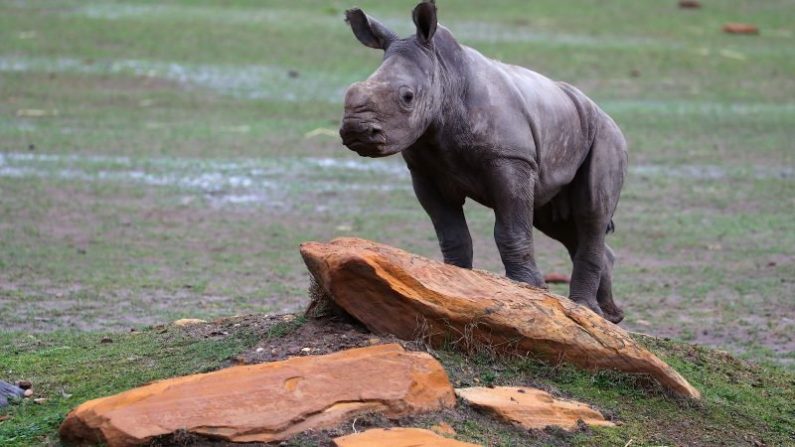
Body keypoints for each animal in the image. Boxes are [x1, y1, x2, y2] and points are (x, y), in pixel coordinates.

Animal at [338, 1, 632, 324]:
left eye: (407, 97)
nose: (356, 131)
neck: (446, 76)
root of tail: (601, 111)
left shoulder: (509, 159)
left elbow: (511, 231)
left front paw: (530, 290)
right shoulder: (424, 172)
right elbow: (451, 233)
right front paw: (449, 286)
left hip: (606, 135)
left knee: (590, 212)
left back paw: (587, 311)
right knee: (558, 223)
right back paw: (610, 317)